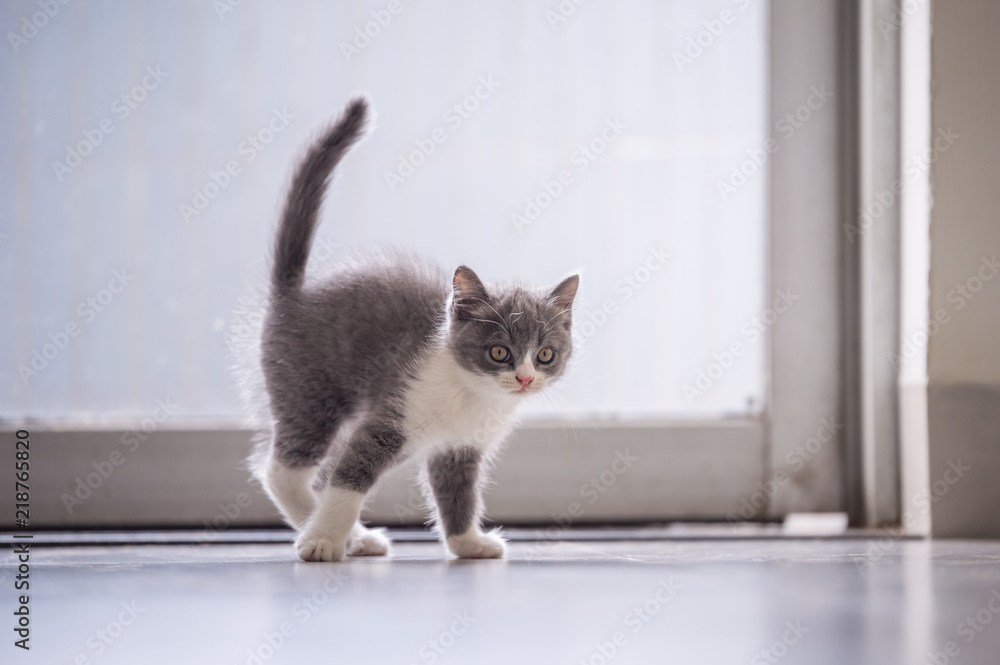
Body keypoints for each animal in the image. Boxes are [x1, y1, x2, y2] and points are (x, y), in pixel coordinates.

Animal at [241, 96, 580, 556]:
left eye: (545, 354)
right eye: (500, 352)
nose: (525, 378)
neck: (472, 394)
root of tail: (293, 292)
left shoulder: (458, 447)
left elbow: (457, 493)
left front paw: (468, 544)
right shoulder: (389, 417)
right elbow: (349, 480)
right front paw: (325, 539)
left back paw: (354, 537)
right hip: (309, 394)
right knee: (284, 471)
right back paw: (333, 532)